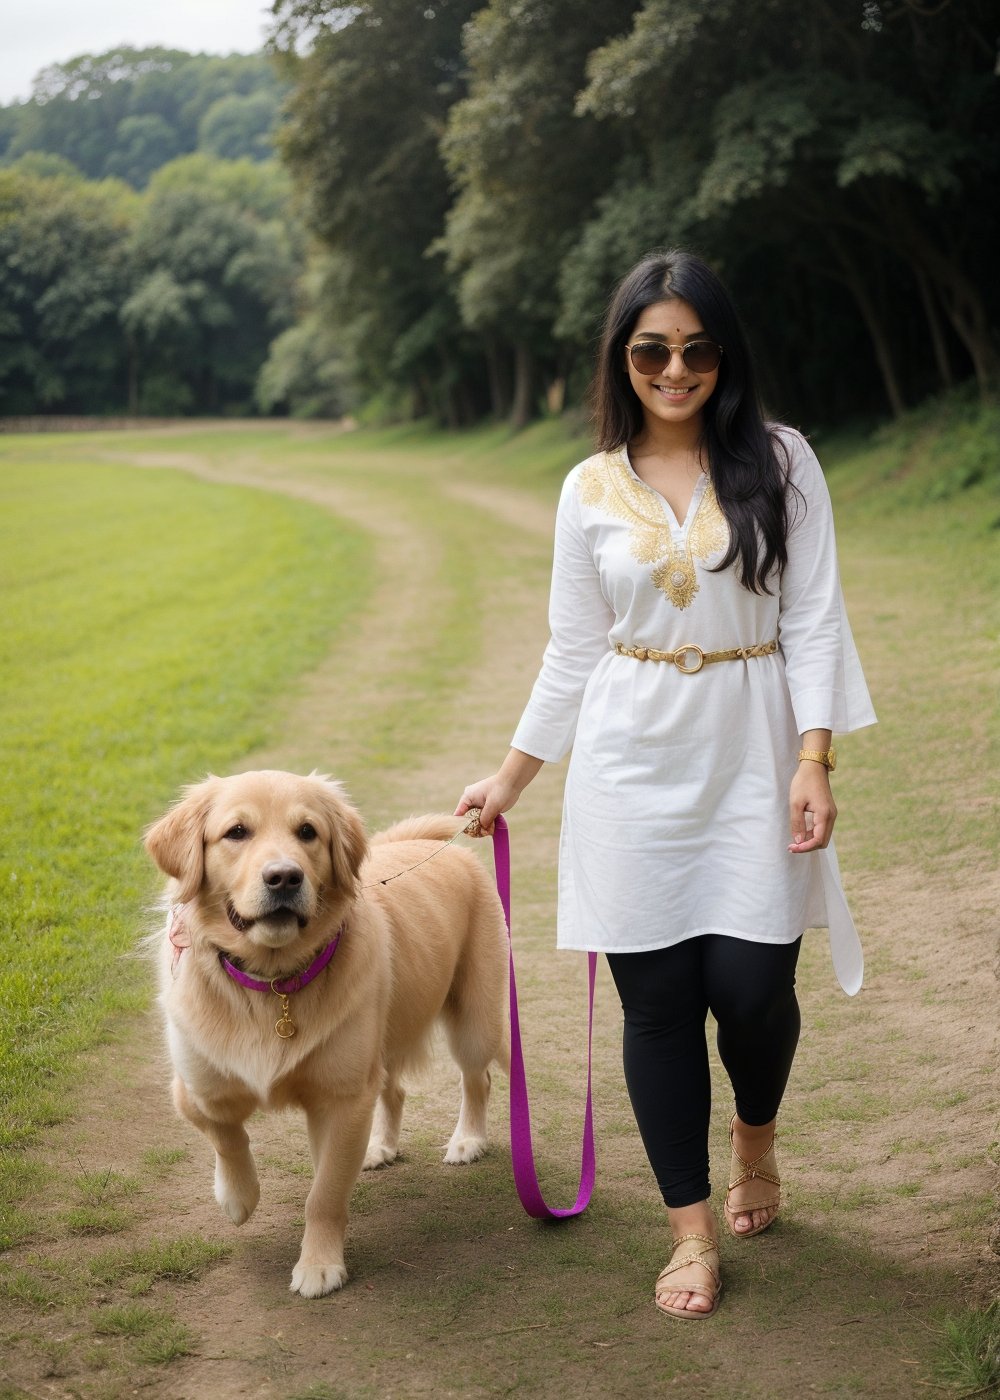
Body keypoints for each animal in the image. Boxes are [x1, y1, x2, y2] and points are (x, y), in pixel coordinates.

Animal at [142, 772, 507, 1293]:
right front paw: (238, 1197)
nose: (284, 877)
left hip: (474, 1021)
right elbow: (224, 1133)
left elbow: (325, 1194)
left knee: (478, 1079)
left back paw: (467, 1140)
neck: (273, 982)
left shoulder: (341, 1099)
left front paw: (318, 1266)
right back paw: (379, 1147)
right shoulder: (195, 1085)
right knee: (394, 1089)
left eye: (308, 832)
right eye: (236, 832)